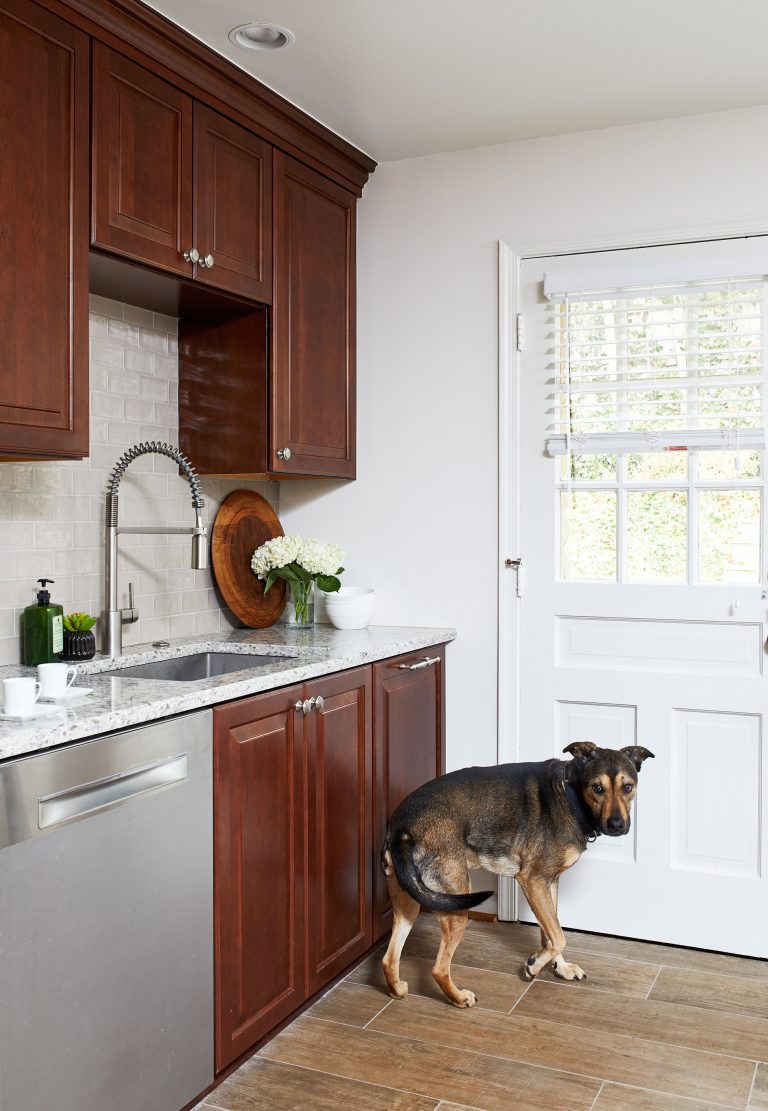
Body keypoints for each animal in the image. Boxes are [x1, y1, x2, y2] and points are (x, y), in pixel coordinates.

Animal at [382, 737, 653, 1008]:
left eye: (627, 787)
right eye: (597, 788)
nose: (617, 825)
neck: (570, 795)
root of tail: (401, 828)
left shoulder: (549, 884)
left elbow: (551, 931)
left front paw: (559, 967)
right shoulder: (532, 881)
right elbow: (559, 936)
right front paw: (535, 964)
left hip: (409, 901)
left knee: (388, 959)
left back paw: (398, 990)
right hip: (455, 904)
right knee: (438, 969)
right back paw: (459, 998)